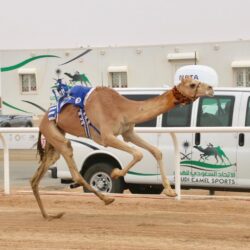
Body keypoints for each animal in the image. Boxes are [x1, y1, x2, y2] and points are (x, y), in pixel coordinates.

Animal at [30, 76, 213, 219]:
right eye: (192, 84)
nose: (211, 88)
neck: (122, 108)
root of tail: (42, 119)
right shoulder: (106, 137)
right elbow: (138, 154)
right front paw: (115, 173)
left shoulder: (128, 132)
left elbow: (156, 151)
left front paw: (170, 191)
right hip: (55, 134)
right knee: (74, 168)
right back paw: (107, 199)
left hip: (53, 140)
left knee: (35, 178)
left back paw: (49, 215)